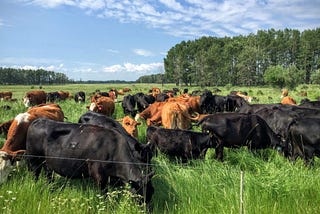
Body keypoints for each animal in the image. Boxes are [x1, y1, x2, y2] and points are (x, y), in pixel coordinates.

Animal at [26, 118, 154, 205]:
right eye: (139, 195)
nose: (148, 210)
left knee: (48, 175)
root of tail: (38, 120)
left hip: (47, 163)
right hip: (34, 160)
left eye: (152, 192)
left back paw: (51, 188)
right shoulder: (99, 175)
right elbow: (103, 193)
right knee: (35, 175)